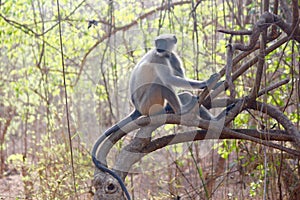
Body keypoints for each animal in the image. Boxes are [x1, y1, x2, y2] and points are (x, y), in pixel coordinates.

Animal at [92, 33, 224, 199]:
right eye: (157, 42)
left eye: (162, 42)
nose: (159, 47)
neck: (164, 55)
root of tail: (137, 108)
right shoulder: (159, 58)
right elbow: (169, 79)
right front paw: (206, 82)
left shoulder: (172, 56)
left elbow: (180, 77)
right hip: (148, 103)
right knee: (161, 82)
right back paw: (182, 110)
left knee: (183, 94)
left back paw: (213, 119)